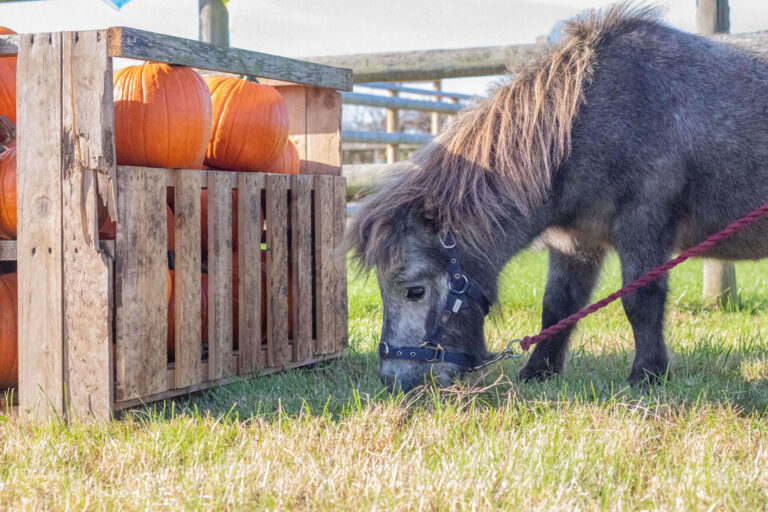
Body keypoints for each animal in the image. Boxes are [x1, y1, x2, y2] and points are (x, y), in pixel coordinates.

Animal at [345, 4, 768, 392]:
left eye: (414, 291)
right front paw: (539, 371)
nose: (395, 381)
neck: (590, 120)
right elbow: (558, 304)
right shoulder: (574, 240)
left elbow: (641, 301)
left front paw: (647, 375)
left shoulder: (644, 223)